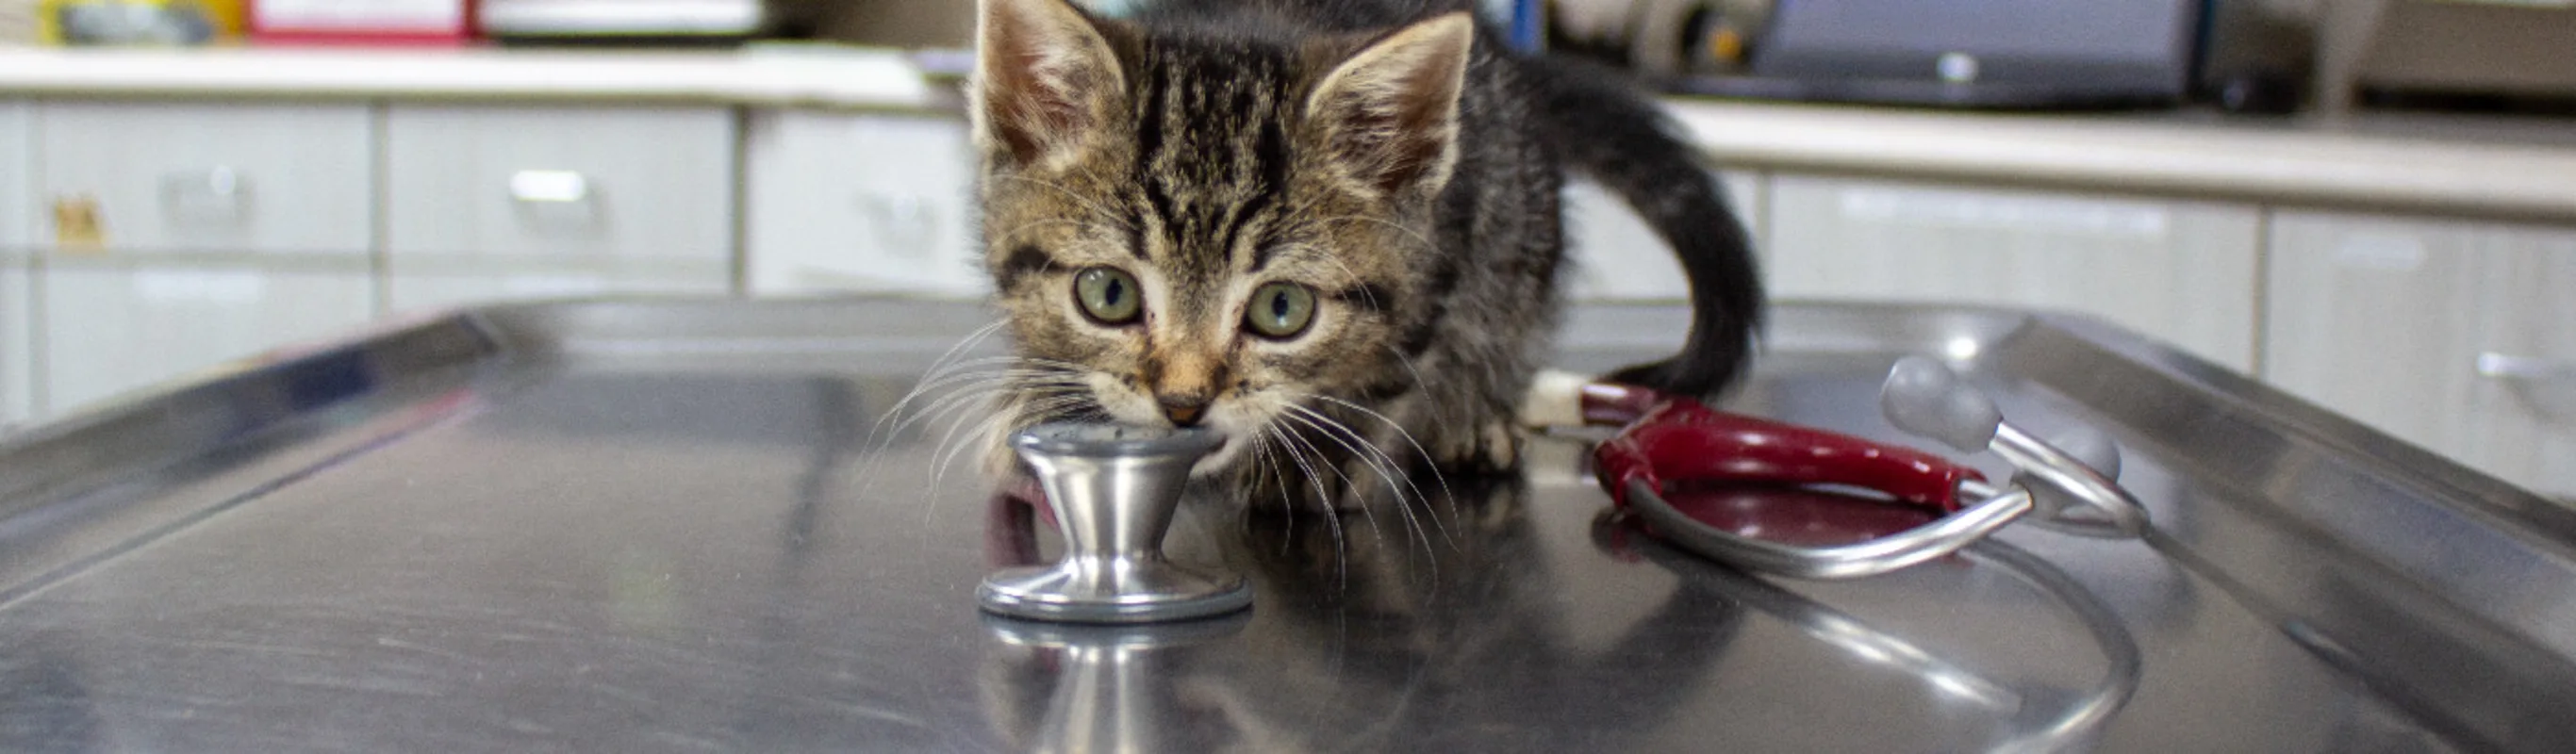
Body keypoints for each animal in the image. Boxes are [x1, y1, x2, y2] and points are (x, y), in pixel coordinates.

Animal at [968, 0, 1772, 501]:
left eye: (1281, 309)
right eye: (1109, 294)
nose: (1184, 405)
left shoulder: (1447, 243)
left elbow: (1396, 362)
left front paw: (1324, 447)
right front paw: (1040, 398)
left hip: (1521, 220)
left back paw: (1475, 415)